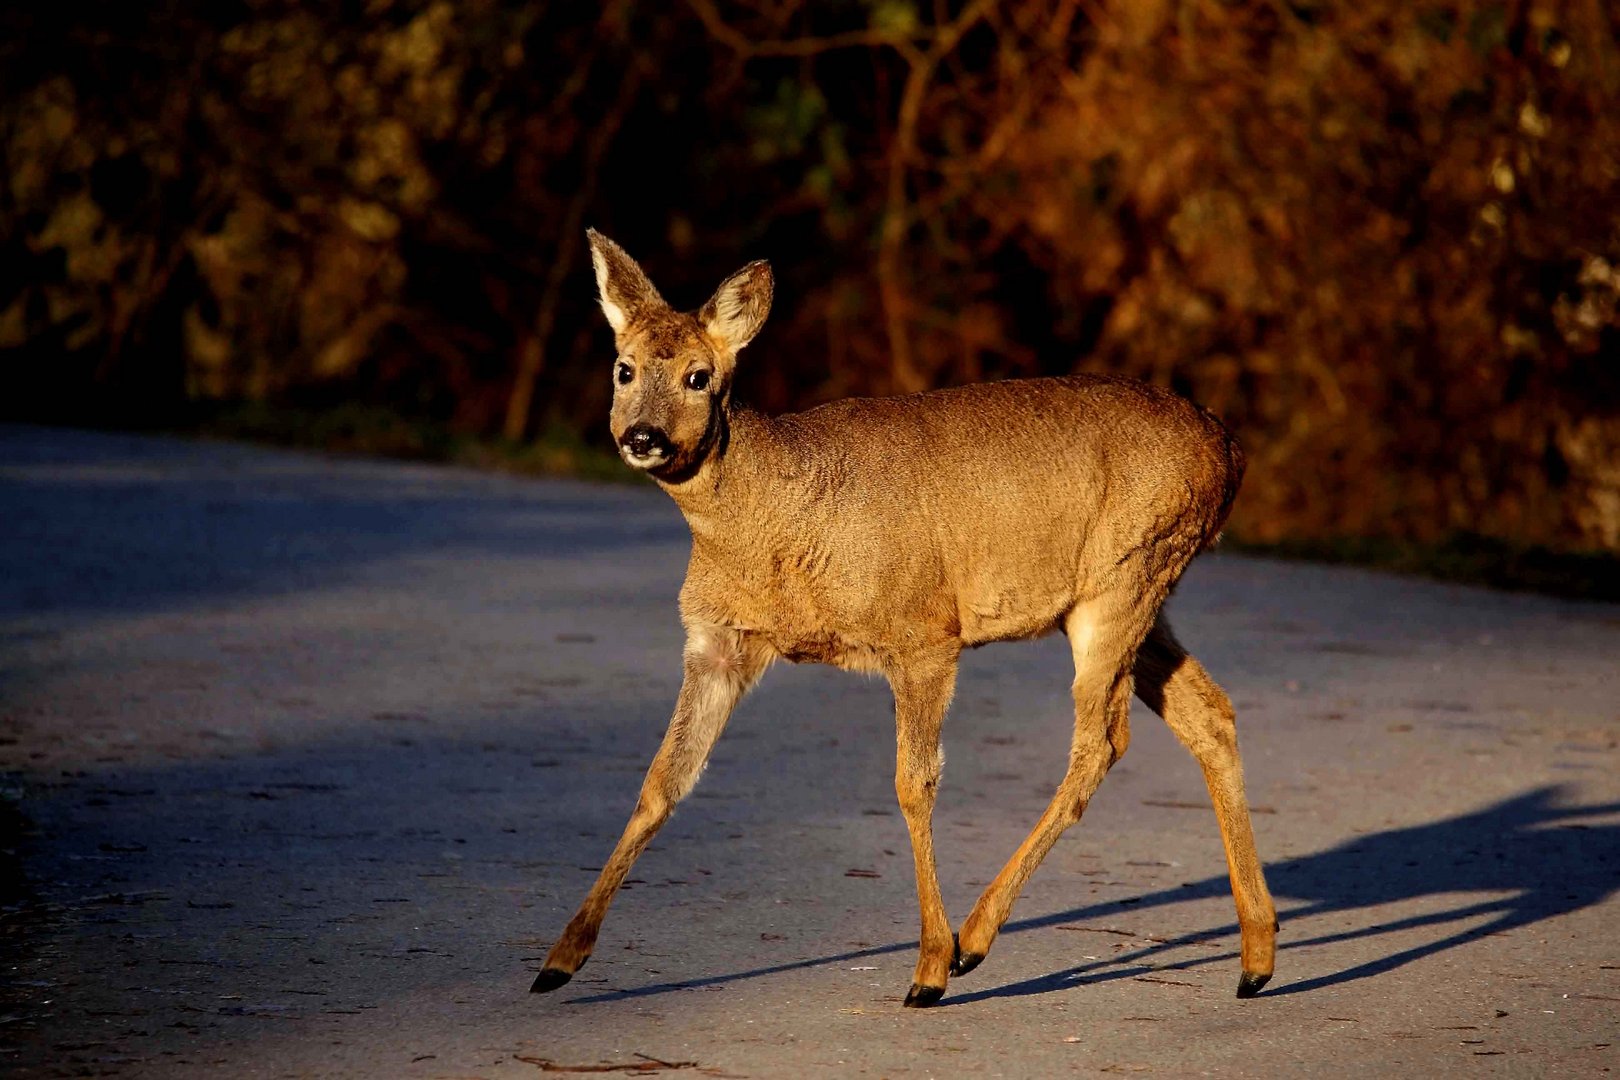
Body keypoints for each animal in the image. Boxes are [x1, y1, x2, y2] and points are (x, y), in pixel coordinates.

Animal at [531, 233, 1276, 1010]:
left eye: (699, 377)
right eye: (624, 368)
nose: (642, 435)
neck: (773, 516)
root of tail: (1231, 448)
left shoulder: (922, 631)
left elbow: (912, 785)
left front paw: (928, 968)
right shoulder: (717, 644)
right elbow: (662, 779)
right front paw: (559, 961)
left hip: (1124, 579)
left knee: (1102, 741)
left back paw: (974, 941)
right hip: (1135, 597)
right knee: (1209, 712)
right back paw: (1256, 960)